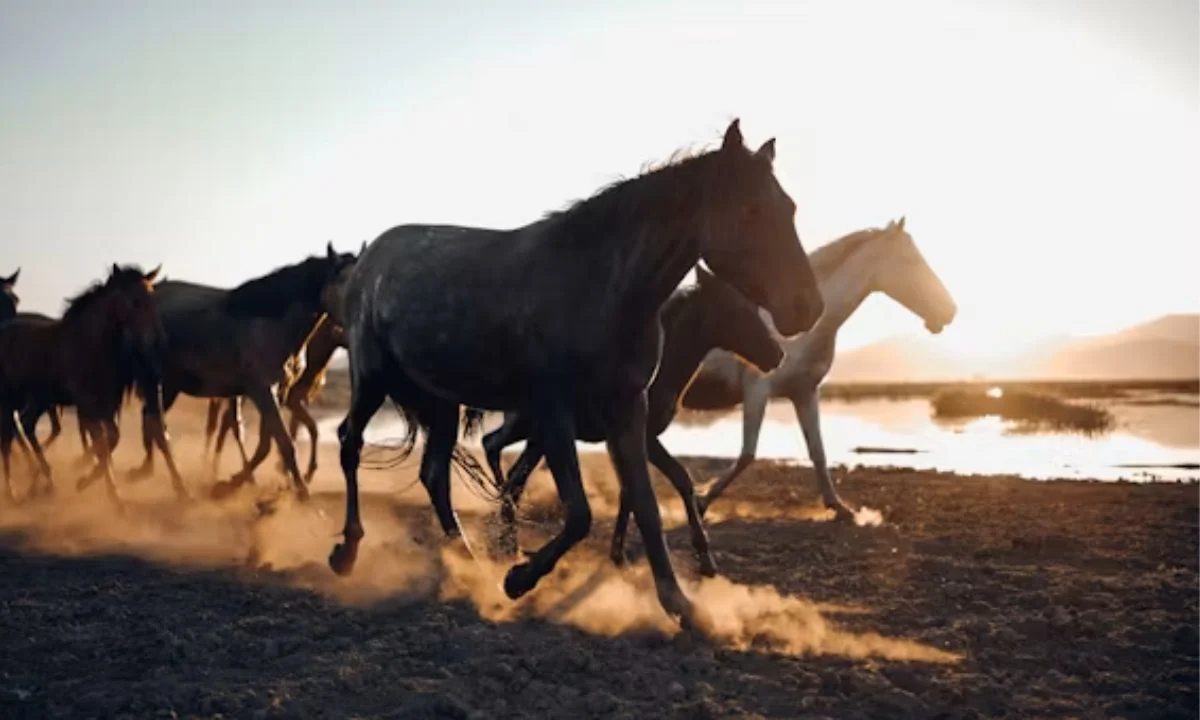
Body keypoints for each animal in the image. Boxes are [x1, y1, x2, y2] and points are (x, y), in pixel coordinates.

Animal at [0, 264, 165, 504]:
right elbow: (102, 444)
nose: (157, 337)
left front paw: (86, 481)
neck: (91, 344)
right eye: (134, 301)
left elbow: (111, 440)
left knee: (26, 425)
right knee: (8, 438)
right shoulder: (87, 405)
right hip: (12, 398)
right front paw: (111, 495)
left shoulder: (107, 406)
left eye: (152, 297)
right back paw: (13, 491)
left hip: (40, 399)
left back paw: (42, 479)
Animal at [204, 315, 347, 481]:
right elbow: (311, 428)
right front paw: (300, 472)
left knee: (223, 422)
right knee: (227, 423)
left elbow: (299, 430)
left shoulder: (298, 400)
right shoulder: (291, 400)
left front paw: (290, 472)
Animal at [471, 266, 786, 579]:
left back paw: (505, 536)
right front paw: (705, 560)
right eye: (738, 309)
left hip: (536, 435)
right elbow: (679, 478)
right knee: (502, 459)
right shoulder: (645, 437)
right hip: (533, 429)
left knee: (502, 458)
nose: (777, 354)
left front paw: (618, 555)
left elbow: (629, 491)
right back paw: (505, 539)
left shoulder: (630, 440)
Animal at [685, 217, 958, 518]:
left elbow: (818, 451)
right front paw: (702, 500)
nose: (950, 310)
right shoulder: (758, 390)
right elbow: (748, 453)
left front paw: (838, 506)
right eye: (910, 260)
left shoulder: (804, 392)